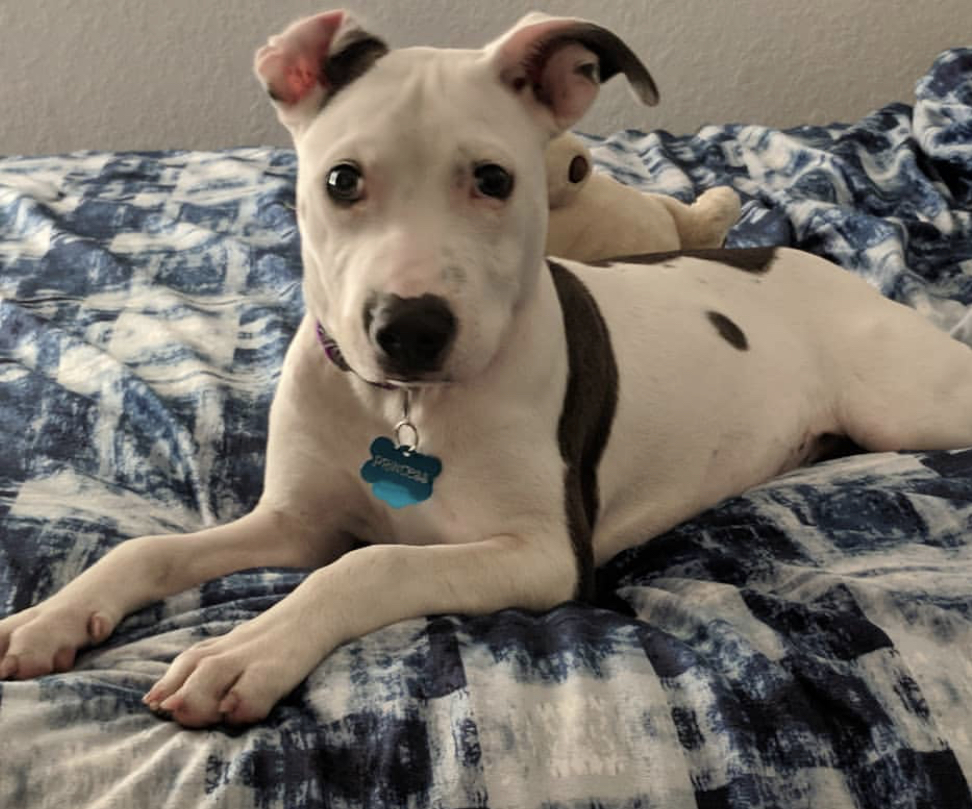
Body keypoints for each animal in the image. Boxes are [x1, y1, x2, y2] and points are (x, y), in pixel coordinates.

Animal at [1, 7, 972, 724]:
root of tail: (817, 262)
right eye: (341, 180)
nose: (410, 328)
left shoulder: (544, 556)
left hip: (911, 406)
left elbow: (368, 565)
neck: (405, 404)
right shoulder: (292, 518)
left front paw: (247, 649)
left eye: (495, 179)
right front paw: (50, 617)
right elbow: (152, 548)